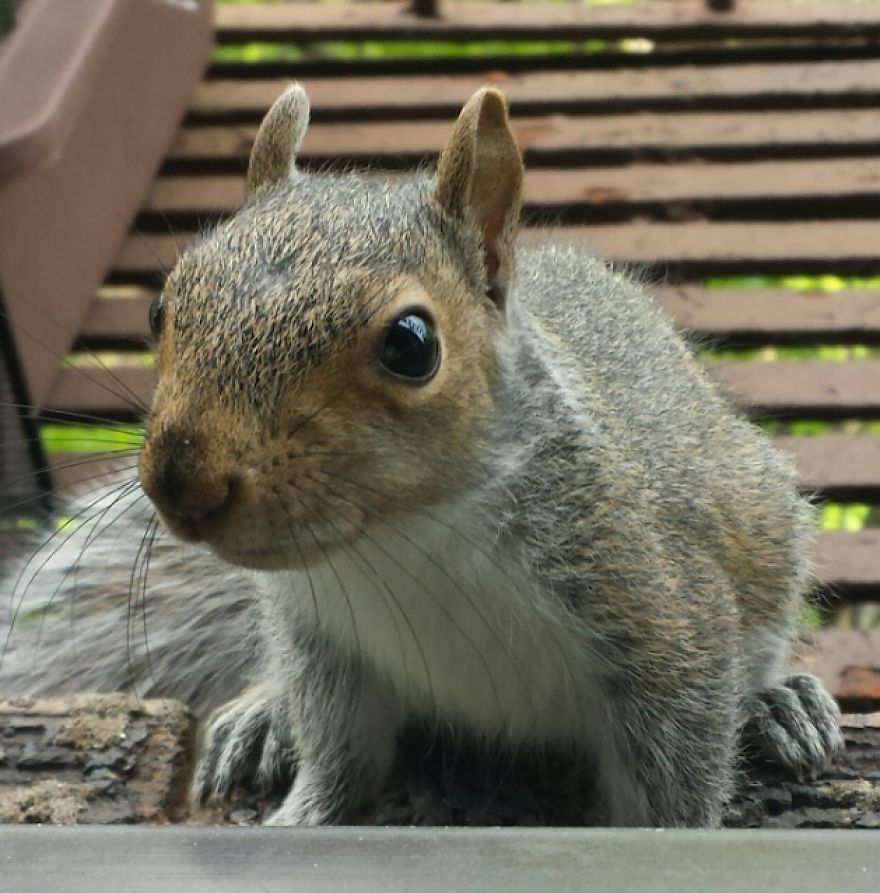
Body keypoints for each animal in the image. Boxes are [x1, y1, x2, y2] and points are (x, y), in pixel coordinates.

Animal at [1, 83, 841, 827]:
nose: (182, 481)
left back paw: (780, 702)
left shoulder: (662, 613)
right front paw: (303, 812)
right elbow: (337, 751)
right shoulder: (326, 643)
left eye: (412, 344)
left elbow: (674, 780)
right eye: (160, 306)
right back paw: (263, 713)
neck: (405, 535)